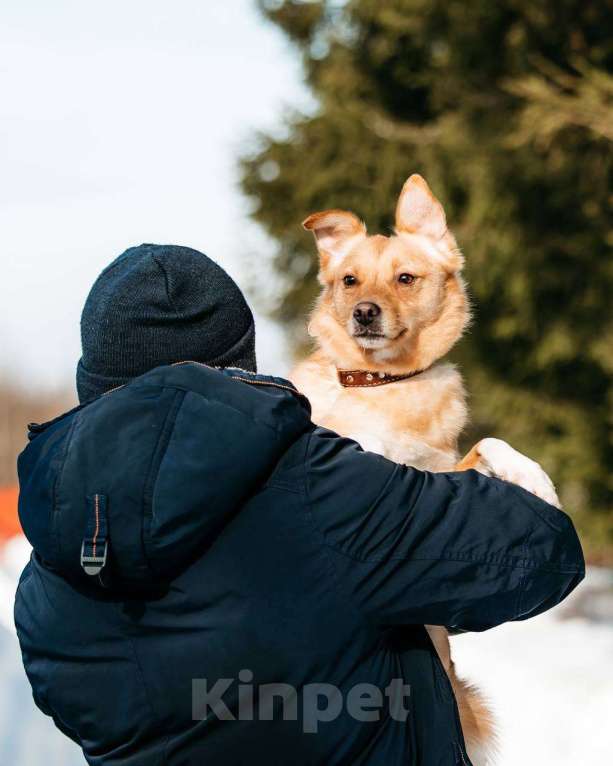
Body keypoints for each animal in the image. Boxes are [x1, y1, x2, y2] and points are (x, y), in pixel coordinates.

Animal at [292, 176, 560, 766]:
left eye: (405, 279)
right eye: (349, 280)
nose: (364, 312)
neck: (383, 385)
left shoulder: (441, 472)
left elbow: (489, 442)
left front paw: (535, 478)